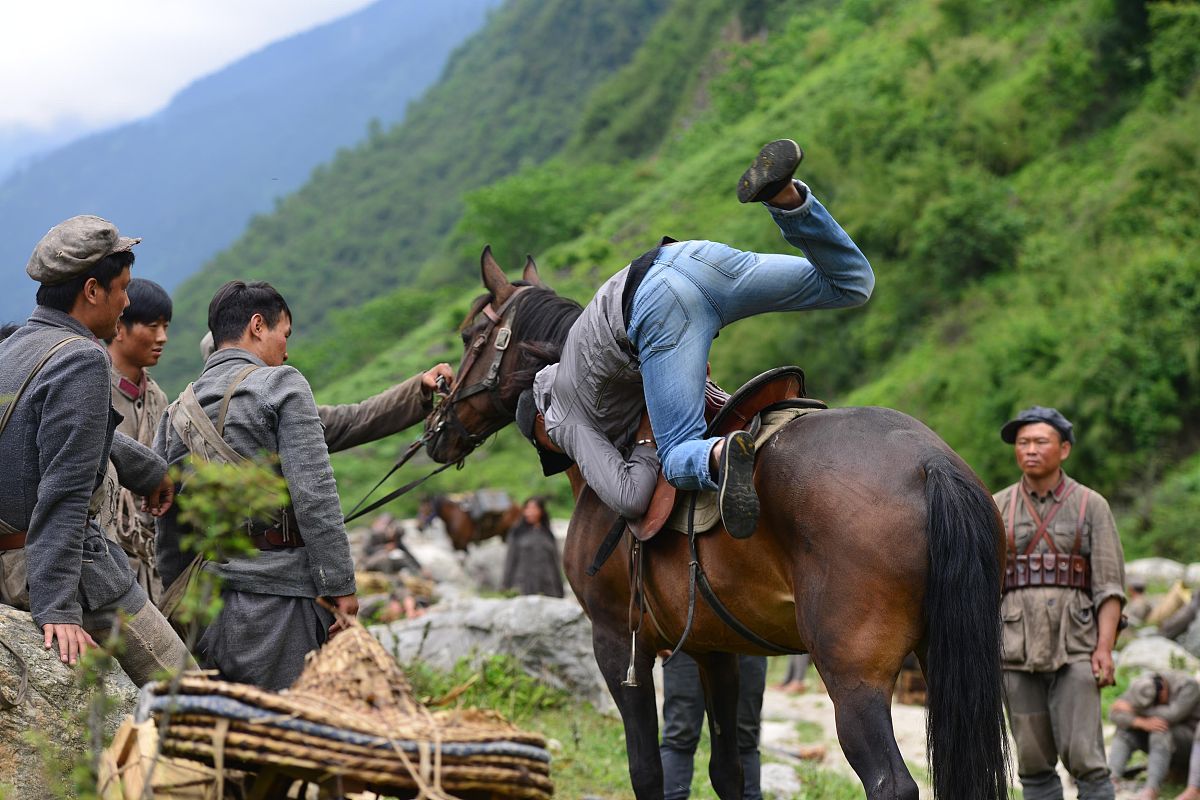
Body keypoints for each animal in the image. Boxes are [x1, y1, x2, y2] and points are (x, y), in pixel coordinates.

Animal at [423, 248, 1010, 800]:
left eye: (471, 335)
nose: (437, 428)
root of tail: (928, 464)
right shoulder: (716, 651)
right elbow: (727, 770)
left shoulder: (618, 645)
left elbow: (646, 770)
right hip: (948, 660)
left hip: (854, 676)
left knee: (890, 783)